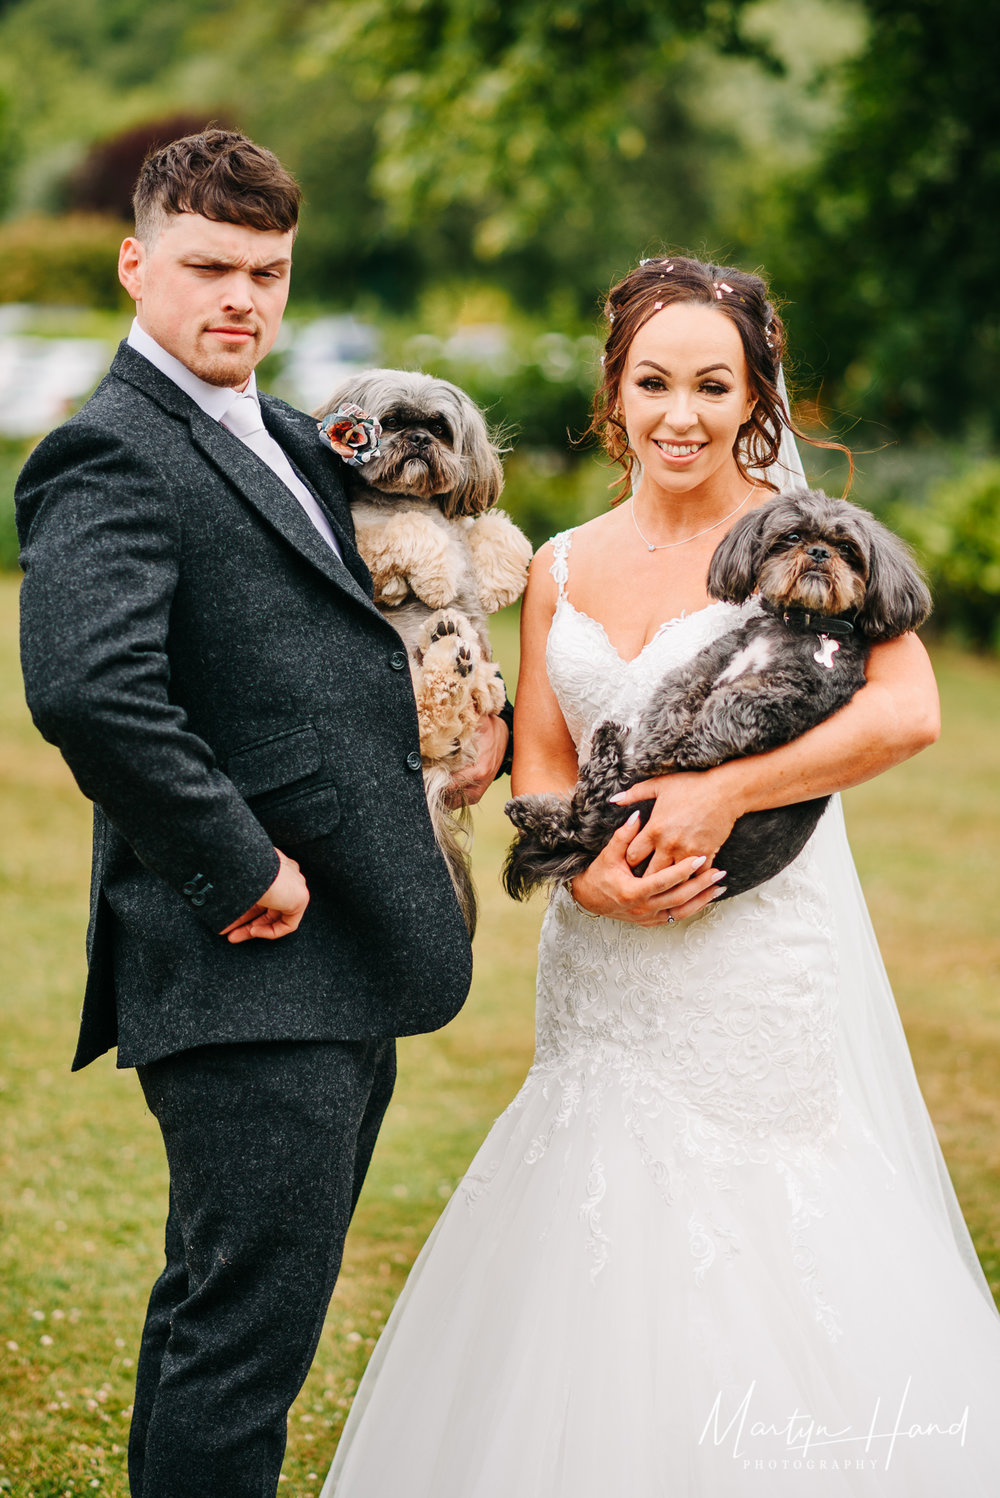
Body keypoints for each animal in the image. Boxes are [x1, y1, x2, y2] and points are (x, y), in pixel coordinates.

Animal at [315, 368, 535, 928]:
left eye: (438, 428)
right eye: (392, 422)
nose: (418, 441)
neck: (409, 497)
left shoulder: (465, 520)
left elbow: (494, 528)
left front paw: (501, 576)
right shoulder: (363, 547)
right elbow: (408, 532)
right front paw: (437, 576)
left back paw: (468, 665)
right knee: (430, 712)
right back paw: (448, 652)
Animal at [502, 494, 934, 898]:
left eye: (847, 548)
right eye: (793, 536)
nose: (819, 552)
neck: (799, 624)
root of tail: (594, 848)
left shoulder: (793, 693)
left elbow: (732, 706)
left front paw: (685, 747)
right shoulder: (713, 659)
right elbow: (676, 688)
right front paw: (659, 741)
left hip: (631, 811)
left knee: (586, 812)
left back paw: (596, 755)